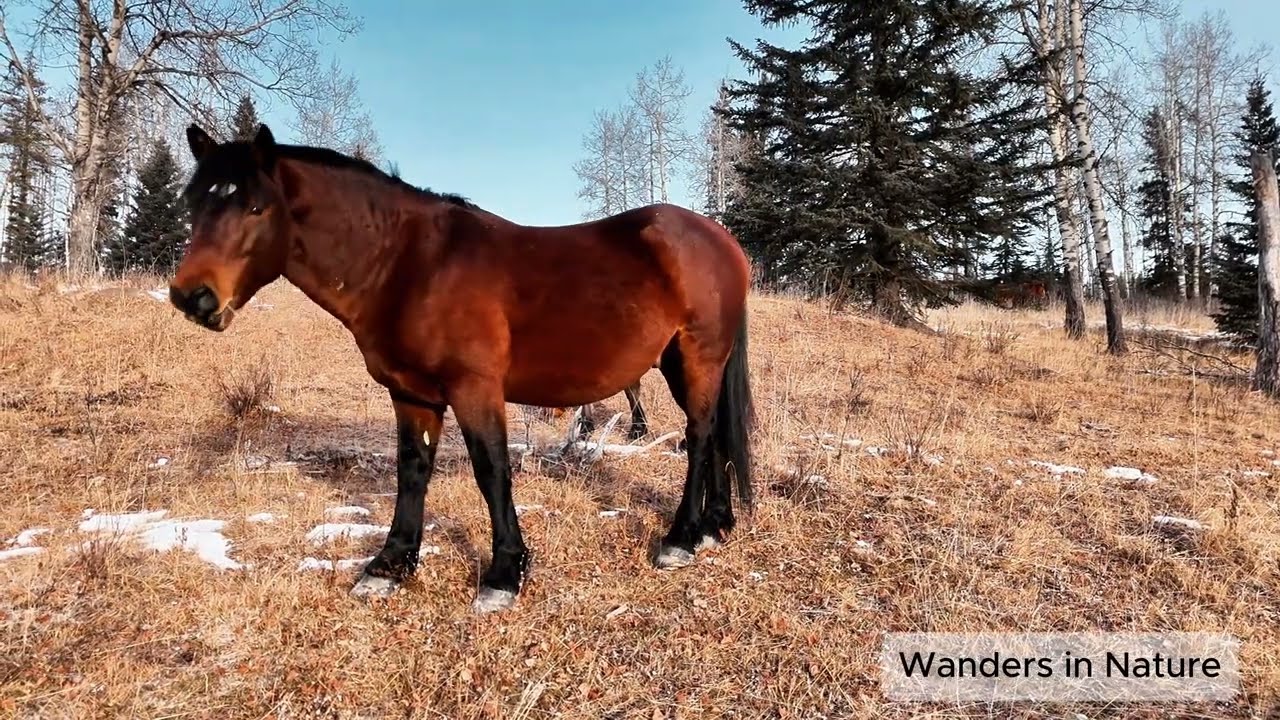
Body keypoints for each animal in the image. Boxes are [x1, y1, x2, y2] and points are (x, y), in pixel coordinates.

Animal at [167, 124, 755, 613]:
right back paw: (714, 526)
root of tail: (722, 240)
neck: (410, 266)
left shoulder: (475, 389)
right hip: (680, 362)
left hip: (698, 356)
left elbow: (491, 471)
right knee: (715, 435)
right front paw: (390, 565)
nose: (193, 297)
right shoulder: (412, 394)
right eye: (194, 202)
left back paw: (680, 538)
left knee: (700, 436)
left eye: (256, 208)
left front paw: (504, 575)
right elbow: (411, 471)